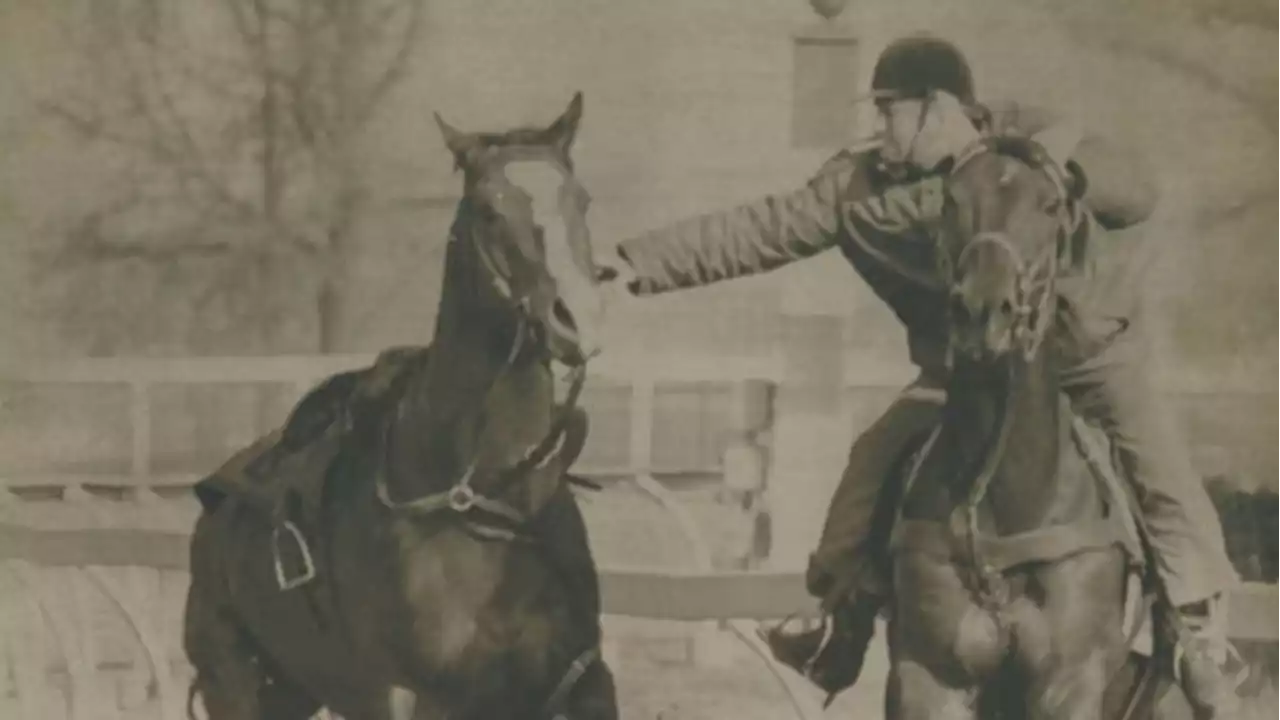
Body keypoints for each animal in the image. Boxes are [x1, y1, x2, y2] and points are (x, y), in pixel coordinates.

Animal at [181, 95, 619, 717]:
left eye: (580, 199)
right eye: (489, 210)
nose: (576, 319)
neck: (483, 497)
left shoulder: (576, 682)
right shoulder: (408, 696)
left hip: (292, 690)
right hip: (233, 682)